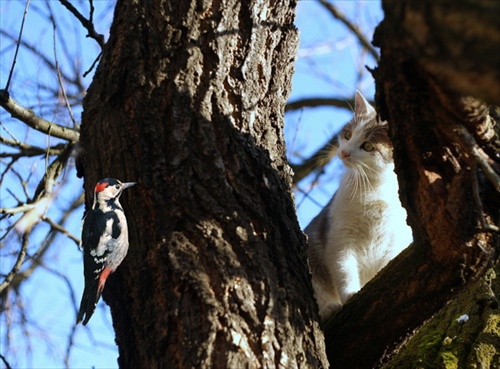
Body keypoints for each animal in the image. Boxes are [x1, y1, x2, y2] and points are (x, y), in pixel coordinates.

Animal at [304, 90, 414, 320]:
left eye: (368, 146)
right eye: (347, 135)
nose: (344, 152)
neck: (374, 189)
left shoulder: (395, 240)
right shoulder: (339, 236)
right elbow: (343, 268)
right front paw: (350, 294)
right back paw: (329, 308)